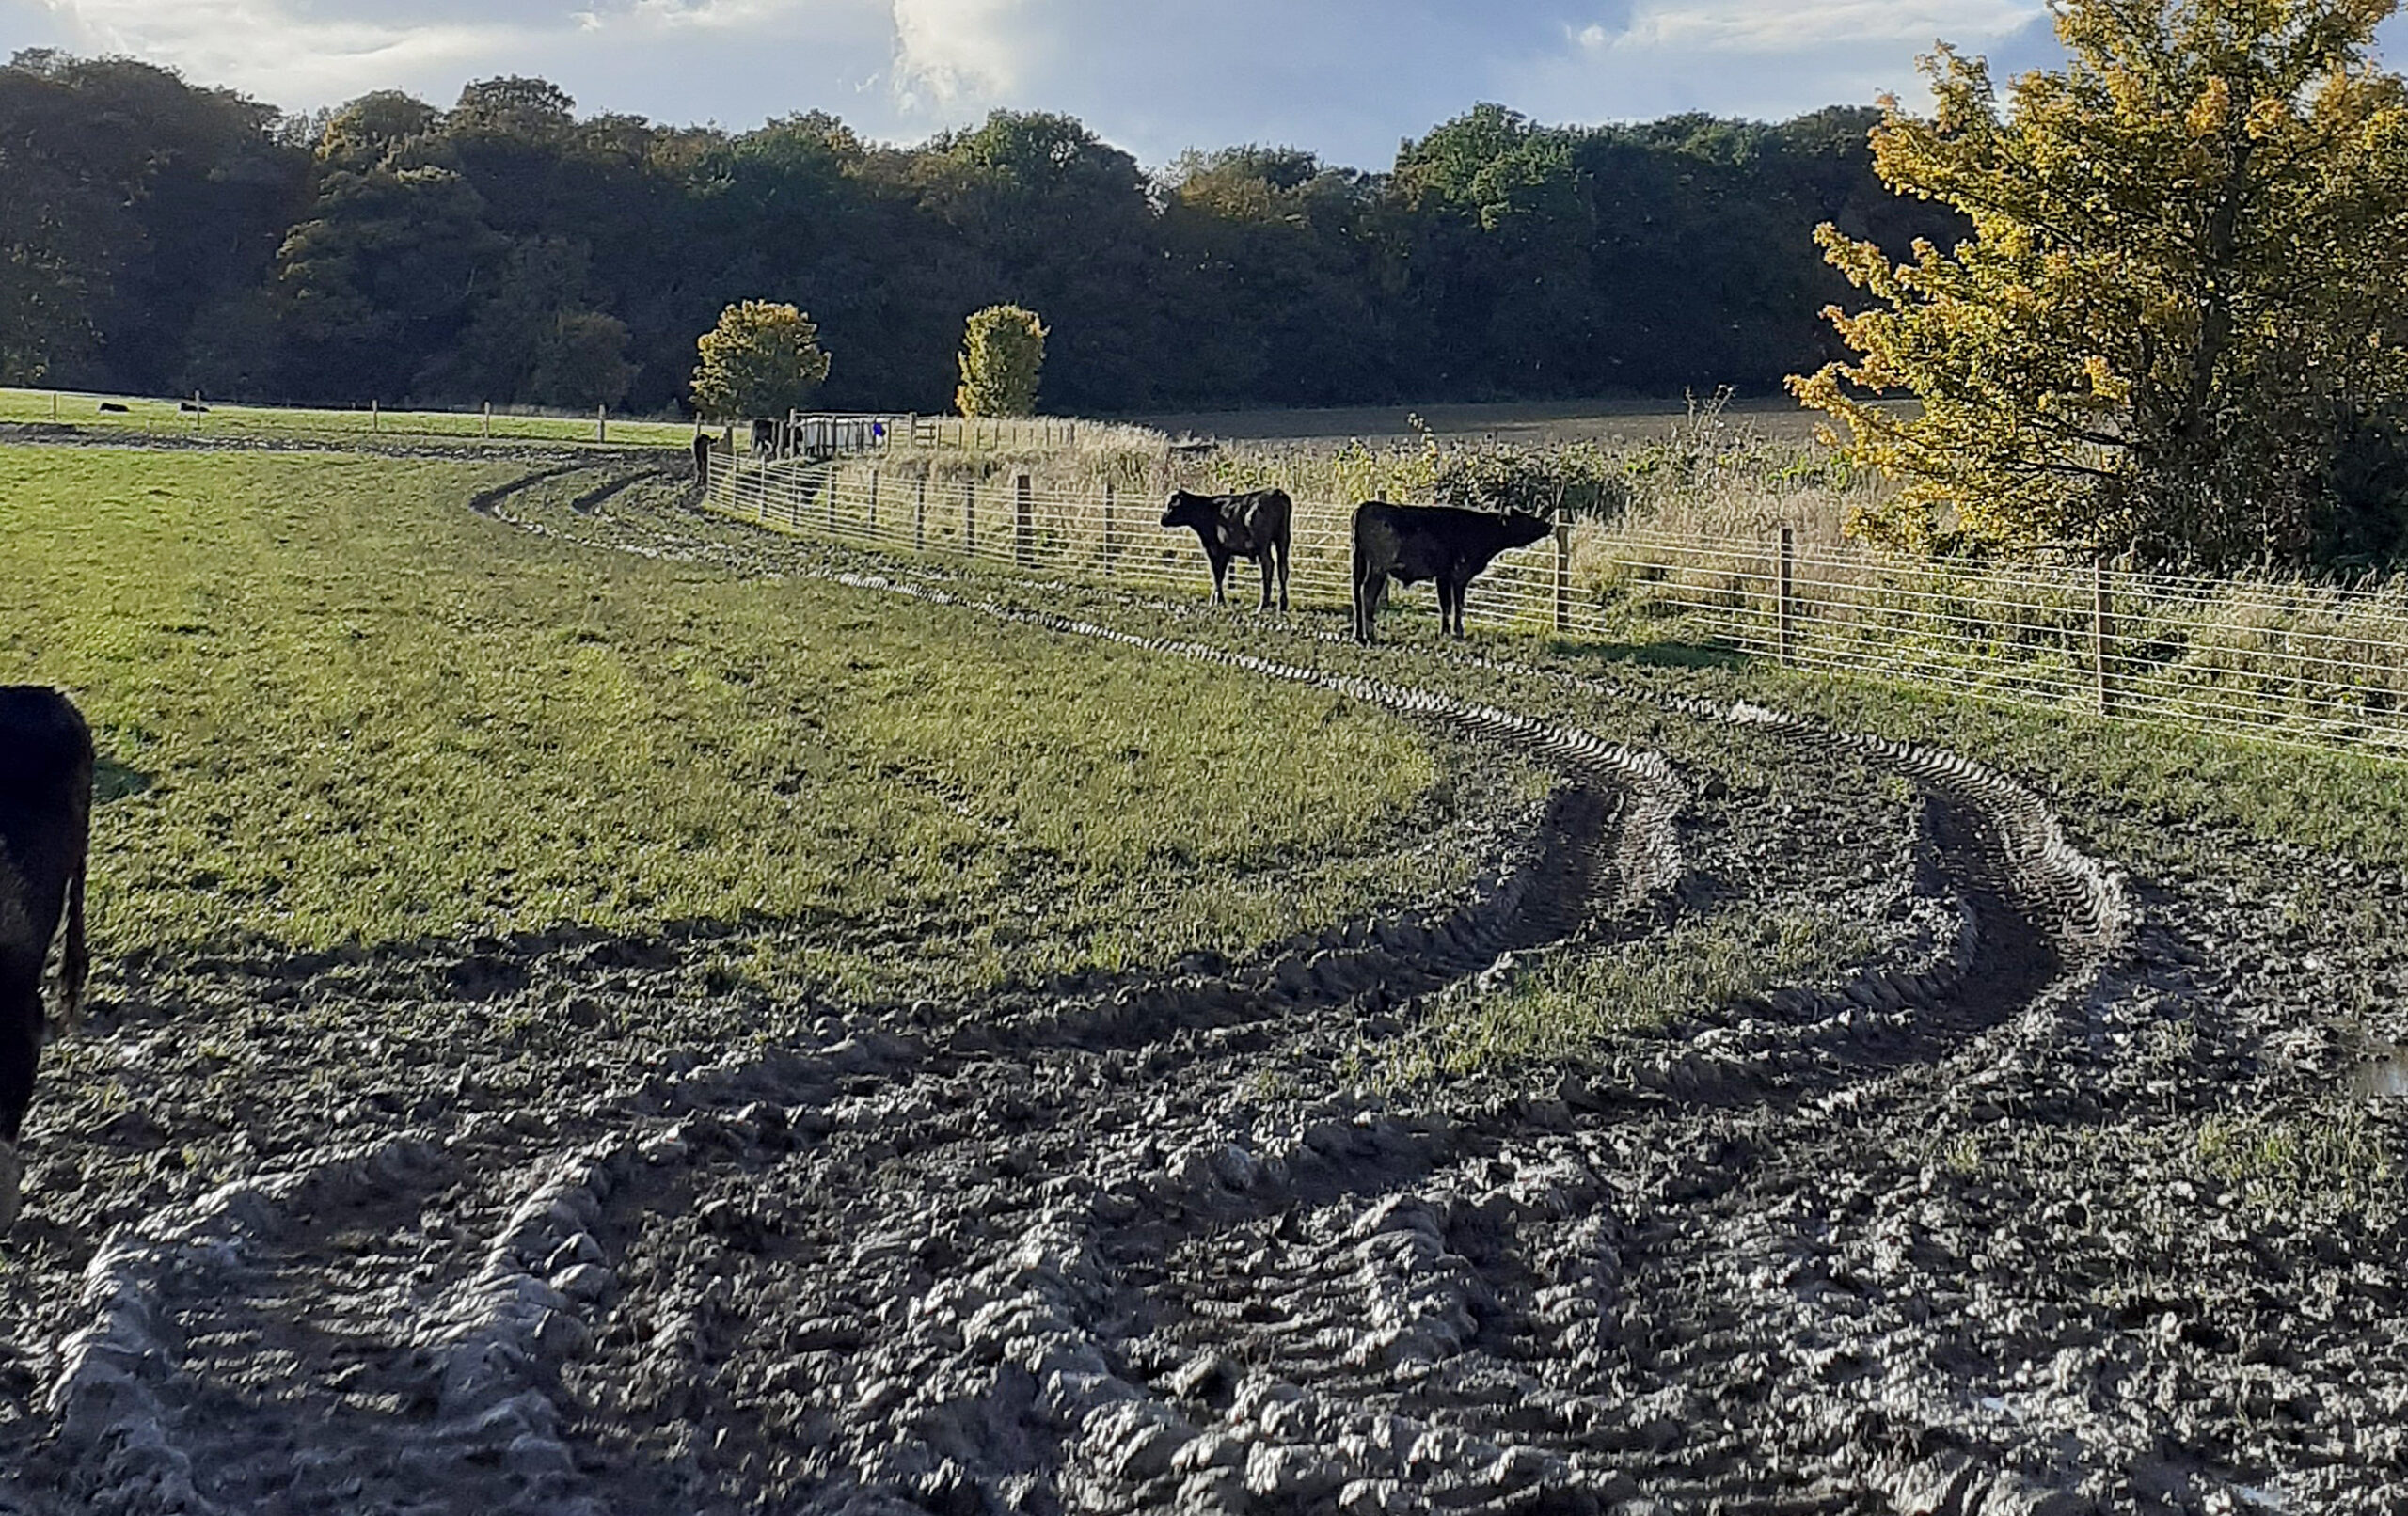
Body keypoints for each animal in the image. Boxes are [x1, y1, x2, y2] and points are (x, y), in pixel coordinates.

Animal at [1155, 493, 1291, 610]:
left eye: (1171, 506)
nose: (1162, 519)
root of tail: (1276, 493)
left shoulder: (1214, 548)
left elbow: (1216, 573)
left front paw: (1216, 602)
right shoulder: (1226, 551)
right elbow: (1221, 573)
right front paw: (1219, 601)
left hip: (1263, 544)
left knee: (1268, 565)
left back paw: (1263, 605)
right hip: (1283, 540)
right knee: (1282, 568)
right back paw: (1282, 605)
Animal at [1348, 497, 1550, 640]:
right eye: (1525, 518)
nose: (1548, 524)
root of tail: (1365, 506)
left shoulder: (1443, 576)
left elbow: (1445, 604)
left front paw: (1444, 631)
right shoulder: (1460, 575)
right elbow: (1457, 604)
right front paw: (1458, 631)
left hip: (1361, 567)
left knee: (1358, 594)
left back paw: (1359, 634)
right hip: (1378, 568)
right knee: (1368, 595)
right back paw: (1370, 634)